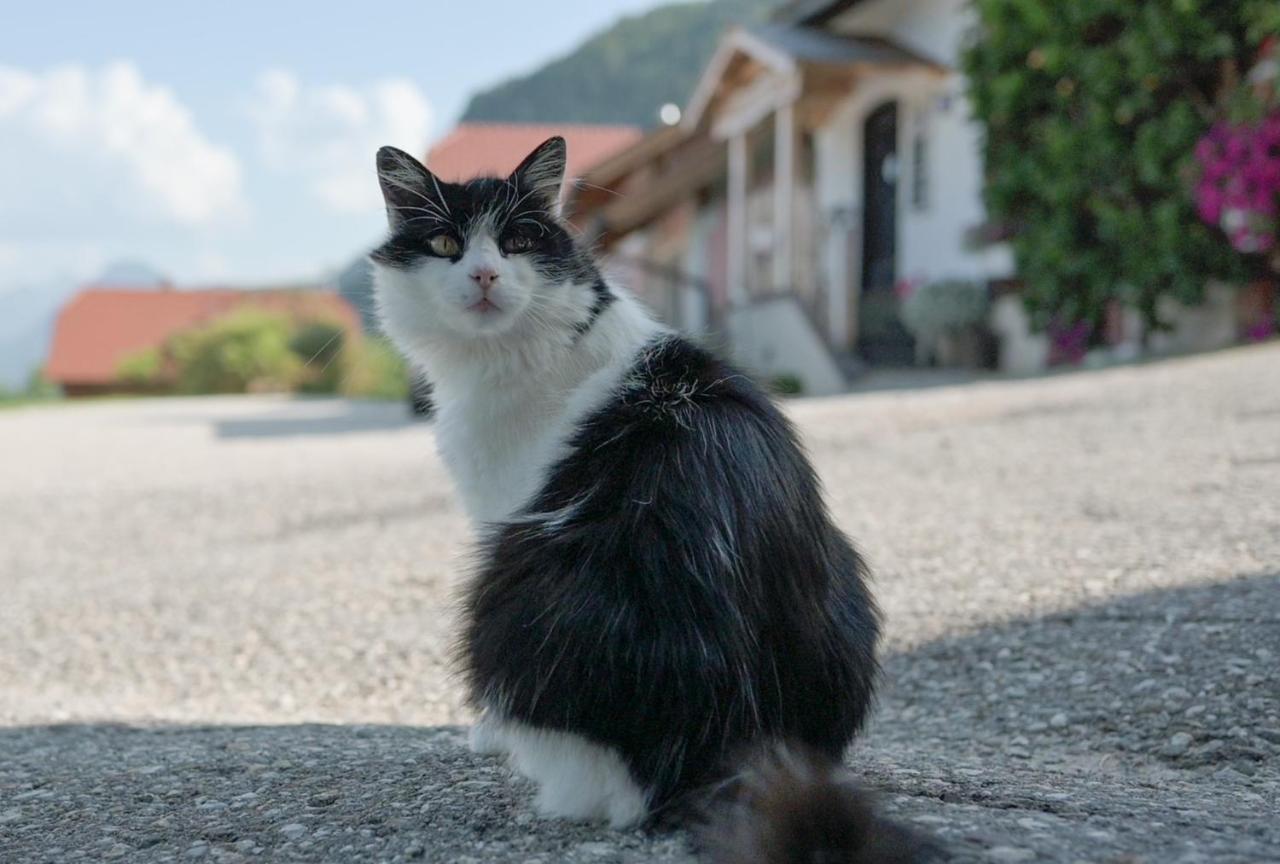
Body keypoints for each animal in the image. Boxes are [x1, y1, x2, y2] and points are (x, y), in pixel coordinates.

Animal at [371, 138, 931, 860]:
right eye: (444, 243)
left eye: (519, 240)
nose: (487, 275)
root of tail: (726, 751)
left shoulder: (501, 503)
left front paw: (486, 735)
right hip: (844, 575)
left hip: (504, 581)